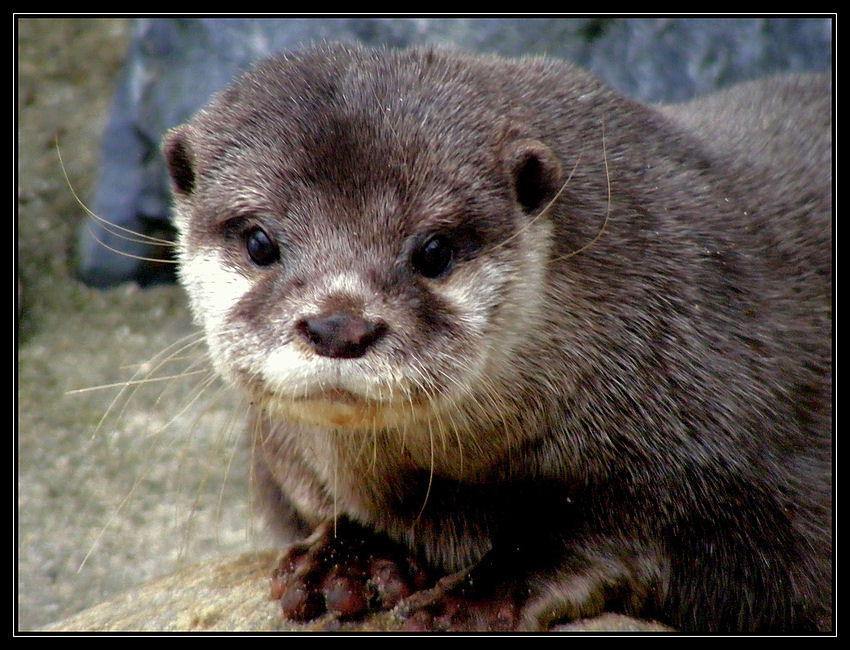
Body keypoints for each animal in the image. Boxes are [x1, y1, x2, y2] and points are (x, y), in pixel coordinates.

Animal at [159, 43, 828, 632]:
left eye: (433, 250)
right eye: (260, 241)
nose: (339, 325)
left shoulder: (711, 437)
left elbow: (619, 535)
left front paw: (478, 597)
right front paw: (347, 557)